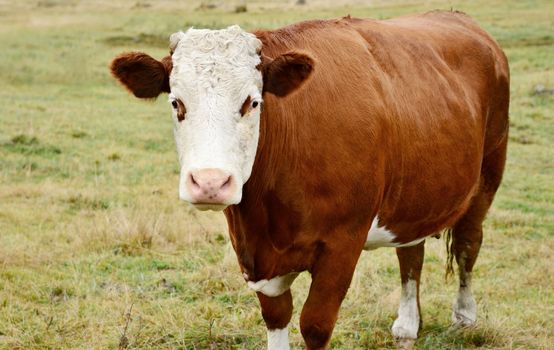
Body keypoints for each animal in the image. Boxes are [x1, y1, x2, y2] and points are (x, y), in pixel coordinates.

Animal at [110, 10, 506, 350]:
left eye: (252, 102)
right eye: (176, 103)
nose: (210, 182)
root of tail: (458, 18)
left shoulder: (343, 243)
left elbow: (314, 325)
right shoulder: (255, 254)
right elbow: (276, 315)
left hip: (487, 176)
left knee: (468, 244)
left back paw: (464, 317)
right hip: (416, 193)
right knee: (411, 252)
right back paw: (407, 326)